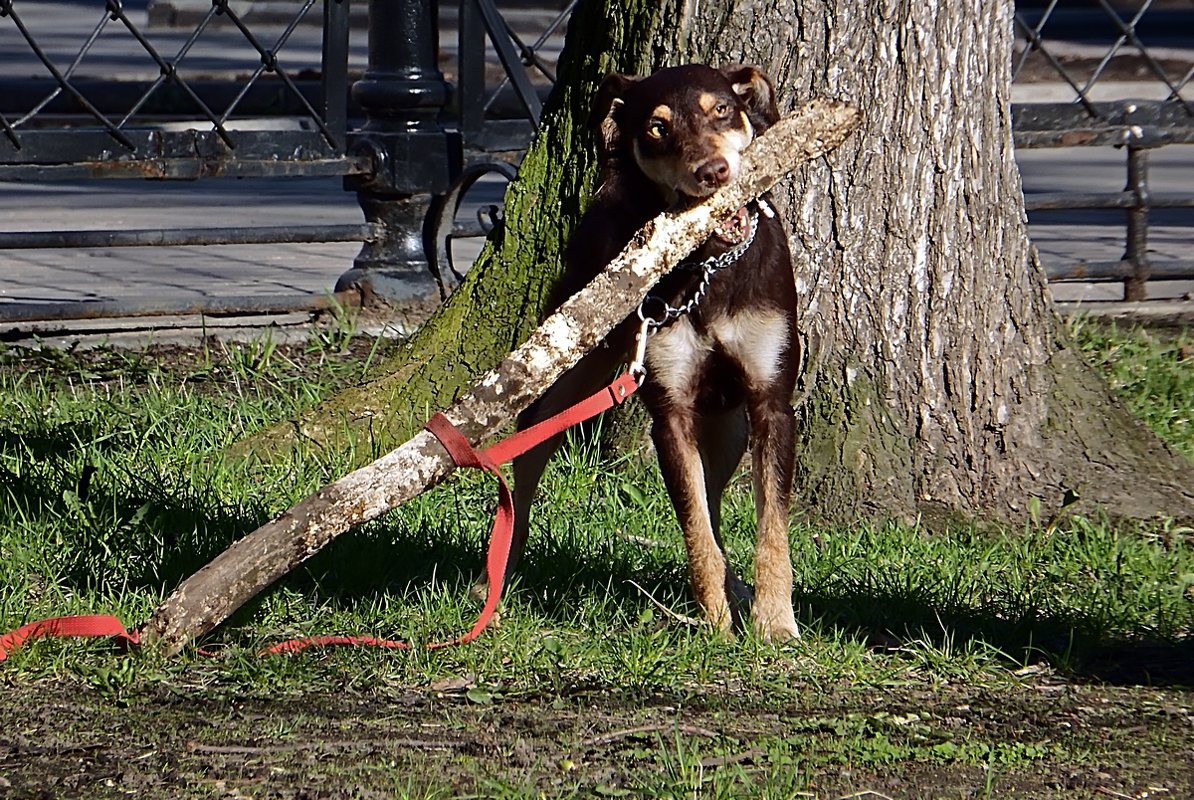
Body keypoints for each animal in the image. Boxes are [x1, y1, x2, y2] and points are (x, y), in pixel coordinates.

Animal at [508, 62, 797, 644]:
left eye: (722, 109)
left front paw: (775, 622)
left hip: (727, 427)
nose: (713, 172)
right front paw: (715, 626)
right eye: (658, 128)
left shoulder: (771, 401)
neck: (710, 272)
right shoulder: (670, 414)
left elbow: (769, 524)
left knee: (714, 496)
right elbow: (694, 527)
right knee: (526, 461)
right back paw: (496, 577)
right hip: (570, 370)